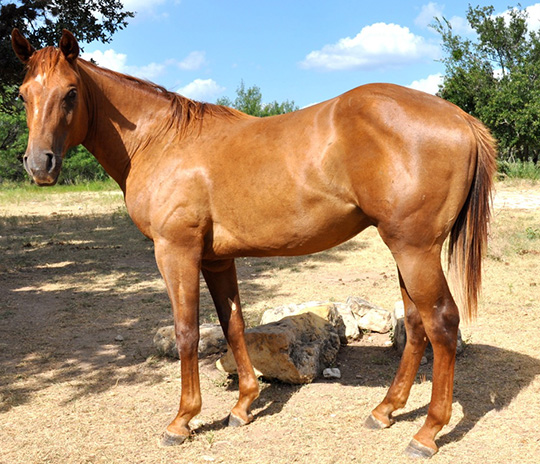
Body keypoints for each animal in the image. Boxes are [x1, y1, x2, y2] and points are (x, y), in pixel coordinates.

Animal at [11, 29, 498, 456]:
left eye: (71, 92)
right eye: (22, 94)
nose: (39, 164)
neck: (160, 141)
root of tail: (459, 117)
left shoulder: (176, 252)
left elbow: (187, 332)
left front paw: (182, 421)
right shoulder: (216, 260)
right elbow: (233, 325)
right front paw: (243, 405)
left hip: (414, 250)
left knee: (442, 324)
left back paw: (427, 432)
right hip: (404, 250)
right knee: (416, 324)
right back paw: (385, 410)